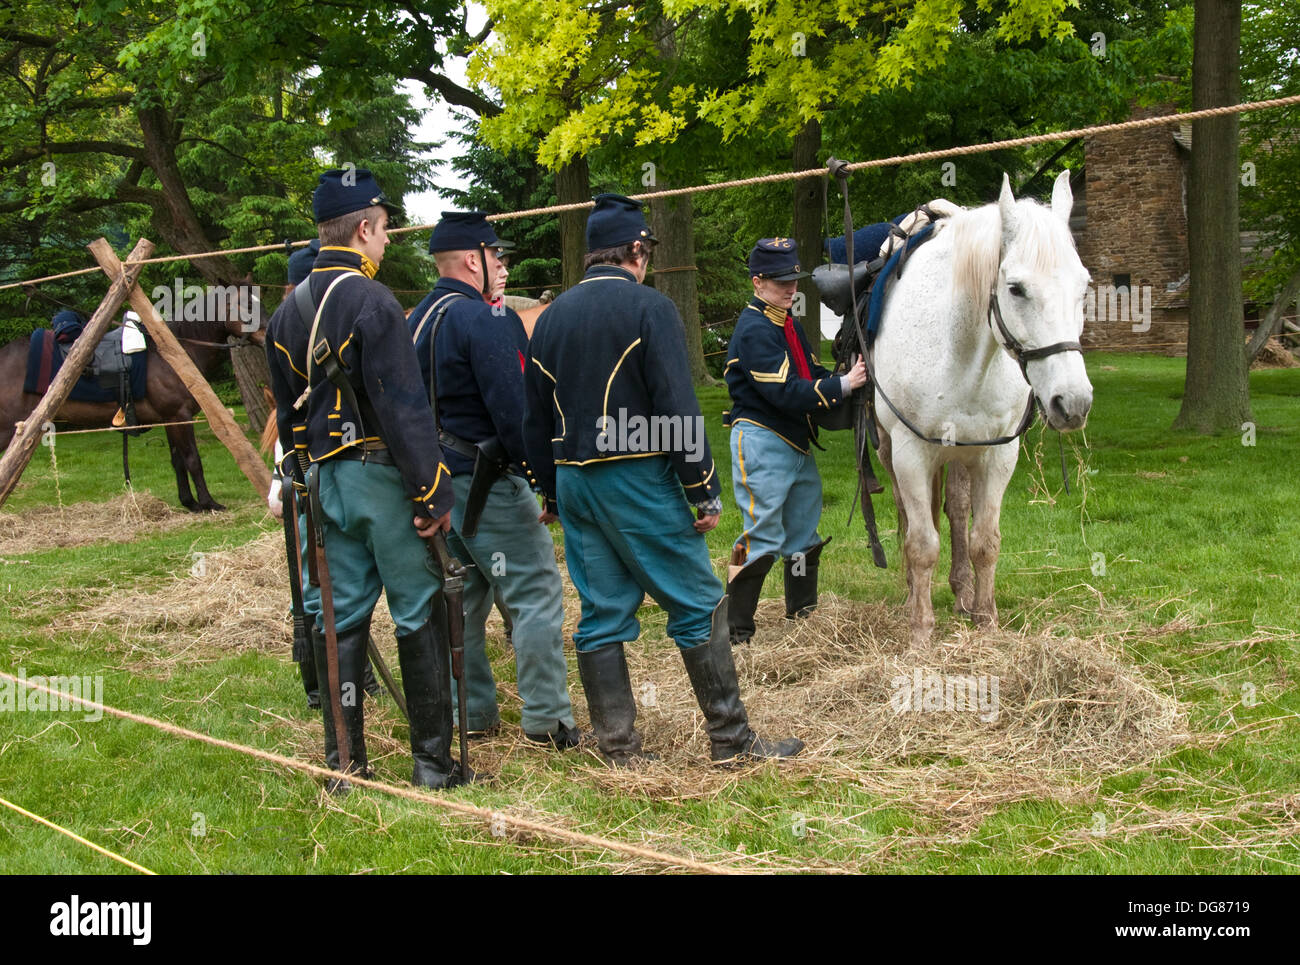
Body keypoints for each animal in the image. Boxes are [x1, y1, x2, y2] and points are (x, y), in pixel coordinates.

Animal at [0, 295, 266, 515]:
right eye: (248, 305)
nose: (268, 334)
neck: (172, 355)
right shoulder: (179, 416)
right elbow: (192, 459)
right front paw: (208, 503)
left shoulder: (170, 419)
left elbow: (178, 461)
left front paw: (190, 503)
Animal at [868, 171, 1092, 650]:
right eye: (1016, 288)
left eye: (1084, 287)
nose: (1073, 403)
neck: (962, 352)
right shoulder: (911, 453)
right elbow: (921, 544)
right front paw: (920, 632)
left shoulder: (997, 454)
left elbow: (984, 540)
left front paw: (986, 620)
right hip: (889, 450)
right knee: (908, 516)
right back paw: (914, 594)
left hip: (963, 453)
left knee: (955, 511)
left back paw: (962, 592)